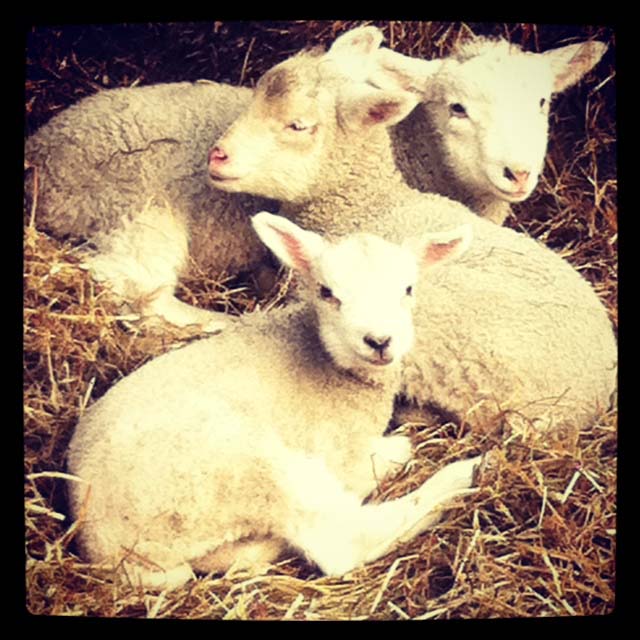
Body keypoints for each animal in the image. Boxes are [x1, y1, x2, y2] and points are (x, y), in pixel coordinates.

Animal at [66, 211, 482, 591]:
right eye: (327, 292)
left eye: (408, 289)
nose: (379, 341)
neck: (331, 366)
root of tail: (107, 550)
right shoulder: (336, 452)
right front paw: (395, 450)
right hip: (243, 467)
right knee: (342, 541)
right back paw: (465, 472)